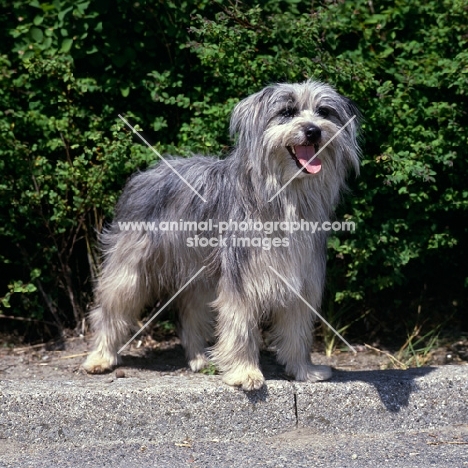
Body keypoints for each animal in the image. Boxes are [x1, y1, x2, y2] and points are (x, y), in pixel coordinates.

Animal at [82, 80, 360, 392]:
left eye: (324, 111)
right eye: (287, 112)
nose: (314, 130)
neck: (285, 196)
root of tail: (144, 174)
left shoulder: (301, 277)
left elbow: (297, 330)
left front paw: (304, 370)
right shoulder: (242, 279)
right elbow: (239, 326)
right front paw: (245, 373)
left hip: (198, 275)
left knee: (190, 316)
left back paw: (200, 359)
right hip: (129, 270)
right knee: (110, 310)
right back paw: (100, 357)